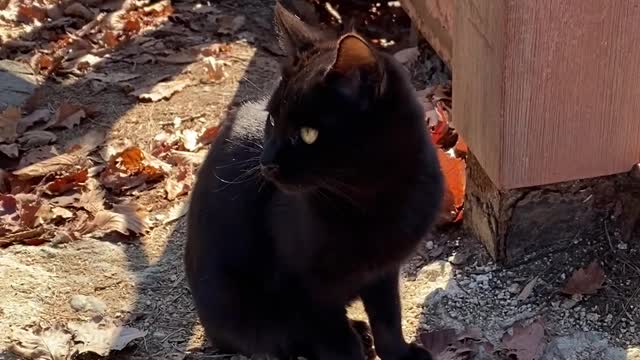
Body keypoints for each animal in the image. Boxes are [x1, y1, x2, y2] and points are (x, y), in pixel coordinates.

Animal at [185, 3, 442, 360]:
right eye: (273, 119)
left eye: (308, 133)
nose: (266, 163)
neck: (370, 199)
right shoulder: (304, 290)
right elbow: (337, 341)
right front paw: (355, 349)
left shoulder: (383, 271)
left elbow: (388, 317)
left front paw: (399, 354)